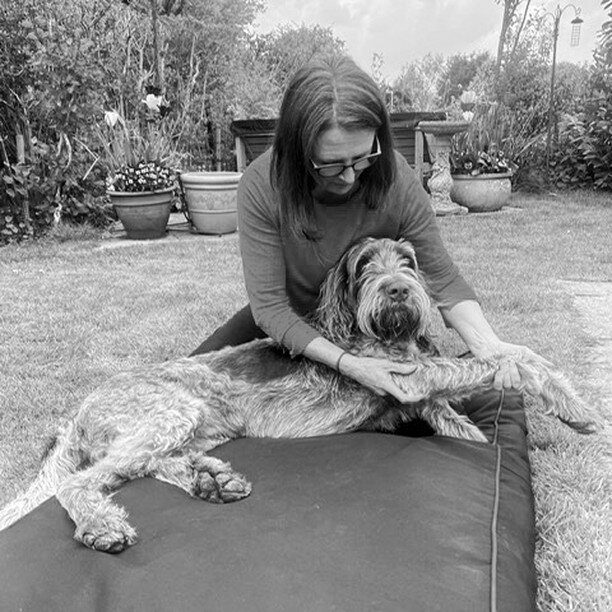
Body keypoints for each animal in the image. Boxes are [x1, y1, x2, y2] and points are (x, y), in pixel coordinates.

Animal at [0, 238, 604, 548]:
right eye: (365, 266)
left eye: (409, 261)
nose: (399, 290)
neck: (377, 332)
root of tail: (74, 414)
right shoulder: (411, 377)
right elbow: (513, 359)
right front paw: (577, 409)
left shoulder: (418, 392)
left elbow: (472, 398)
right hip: (171, 411)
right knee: (80, 483)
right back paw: (103, 524)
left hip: (193, 425)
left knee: (144, 466)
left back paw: (210, 480)